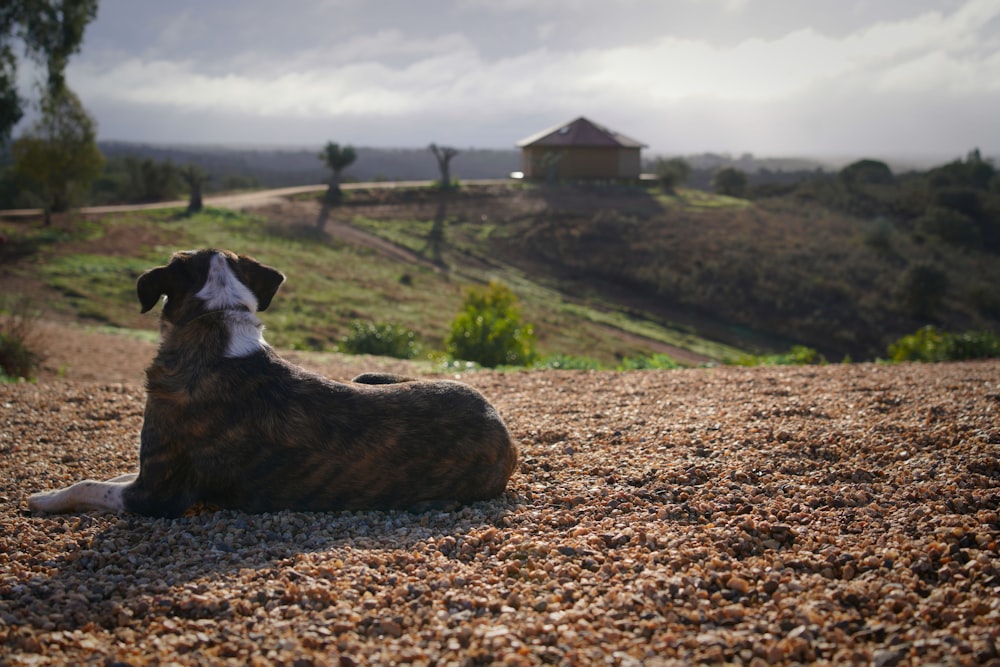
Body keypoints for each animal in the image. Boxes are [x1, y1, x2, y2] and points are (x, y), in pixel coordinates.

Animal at [27, 249, 520, 516]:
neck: (216, 323)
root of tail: (501, 426)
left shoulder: (157, 495)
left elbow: (87, 484)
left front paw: (44, 497)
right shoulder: (146, 475)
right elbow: (108, 474)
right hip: (368, 376)